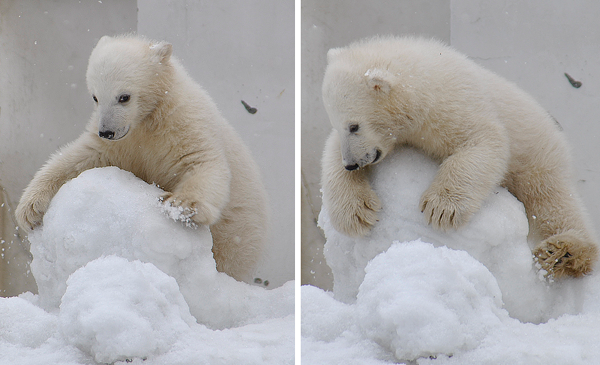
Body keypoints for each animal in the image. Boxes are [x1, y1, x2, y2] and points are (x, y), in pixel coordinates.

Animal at [15, 34, 268, 280]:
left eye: (124, 97)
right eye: (95, 97)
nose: (107, 131)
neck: (148, 118)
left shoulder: (185, 123)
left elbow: (200, 161)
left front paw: (180, 204)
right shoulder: (121, 145)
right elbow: (80, 158)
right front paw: (29, 210)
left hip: (238, 234)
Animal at [324, 35, 600, 278]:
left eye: (354, 126)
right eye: (338, 124)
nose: (351, 164)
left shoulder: (454, 100)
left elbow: (485, 140)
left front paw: (441, 209)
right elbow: (330, 154)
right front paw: (356, 215)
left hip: (540, 155)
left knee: (552, 202)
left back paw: (564, 252)